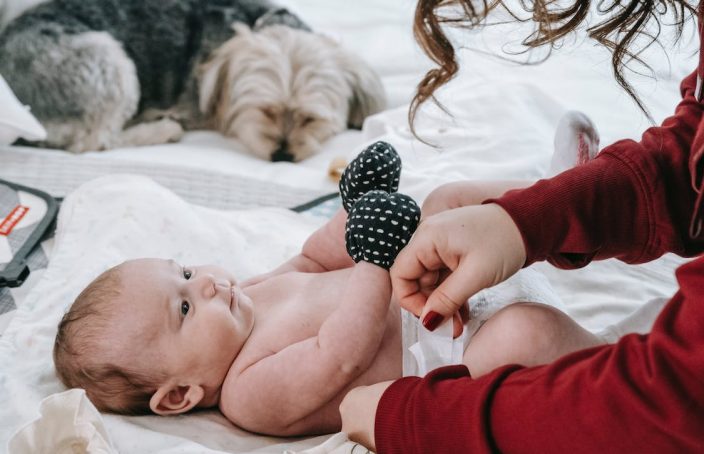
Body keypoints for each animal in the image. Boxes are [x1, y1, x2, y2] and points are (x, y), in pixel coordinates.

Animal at [0, 0, 384, 160]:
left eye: (310, 119)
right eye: (264, 111)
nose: (282, 156)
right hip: (106, 59)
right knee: (94, 141)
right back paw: (161, 128)